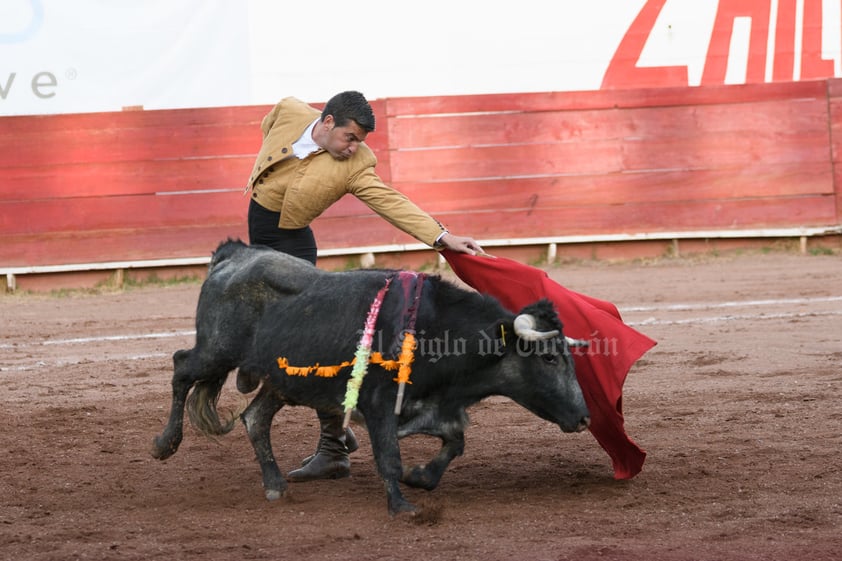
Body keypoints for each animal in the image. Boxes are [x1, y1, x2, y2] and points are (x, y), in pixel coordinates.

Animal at [151, 238, 588, 516]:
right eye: (549, 358)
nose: (584, 417)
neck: (435, 331)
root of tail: (235, 255)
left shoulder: (429, 407)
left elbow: (455, 441)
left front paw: (421, 477)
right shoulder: (379, 405)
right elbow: (390, 457)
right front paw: (402, 507)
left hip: (280, 381)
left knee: (255, 418)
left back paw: (275, 484)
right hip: (216, 351)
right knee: (181, 367)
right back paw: (164, 444)